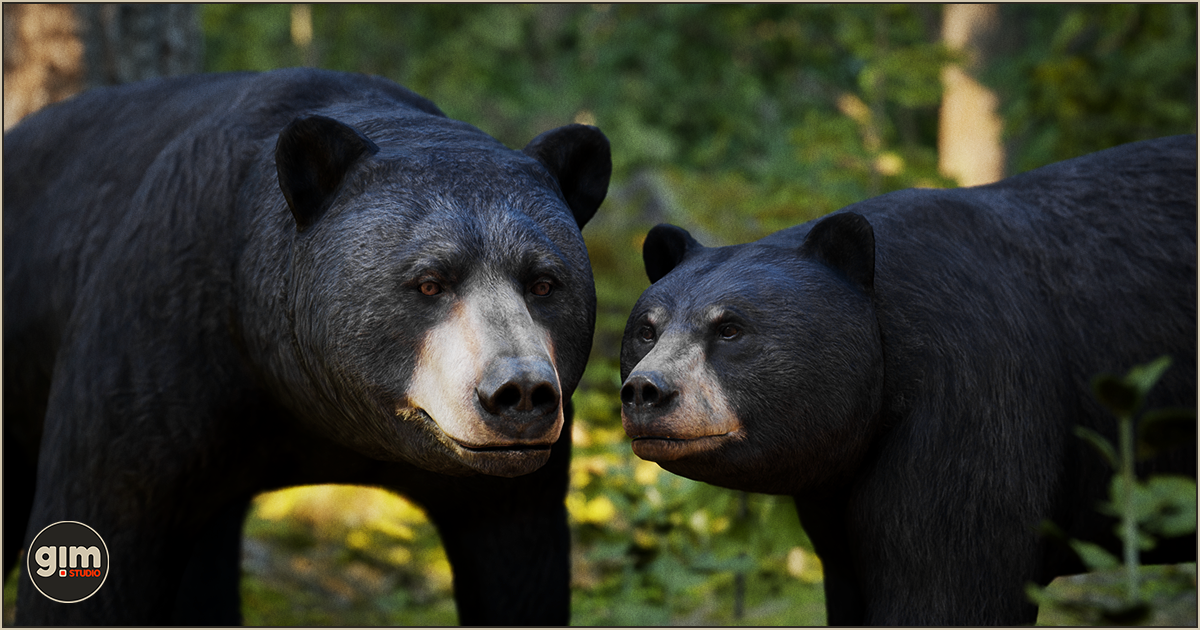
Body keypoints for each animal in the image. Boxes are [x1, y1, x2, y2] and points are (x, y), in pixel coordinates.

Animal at [3, 67, 610, 625]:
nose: (519, 392)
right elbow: (106, 515)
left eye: (543, 283)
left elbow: (519, 565)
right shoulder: (161, 350)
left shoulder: (511, 484)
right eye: (430, 282)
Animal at [618, 135, 1197, 625]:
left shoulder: (975, 397)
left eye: (731, 328)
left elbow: (950, 577)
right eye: (647, 329)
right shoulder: (837, 492)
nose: (646, 391)